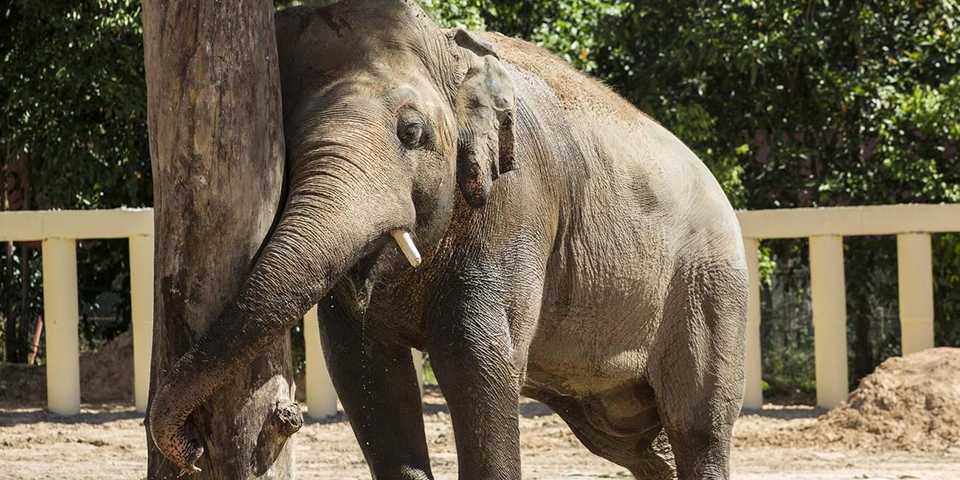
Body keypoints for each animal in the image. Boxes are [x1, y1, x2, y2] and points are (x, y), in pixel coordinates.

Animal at [148, 1, 749, 479]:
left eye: (411, 132)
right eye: (283, 148)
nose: (192, 446)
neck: (451, 51)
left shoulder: (517, 206)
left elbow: (476, 361)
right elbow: (363, 368)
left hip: (709, 287)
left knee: (697, 427)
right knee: (628, 439)